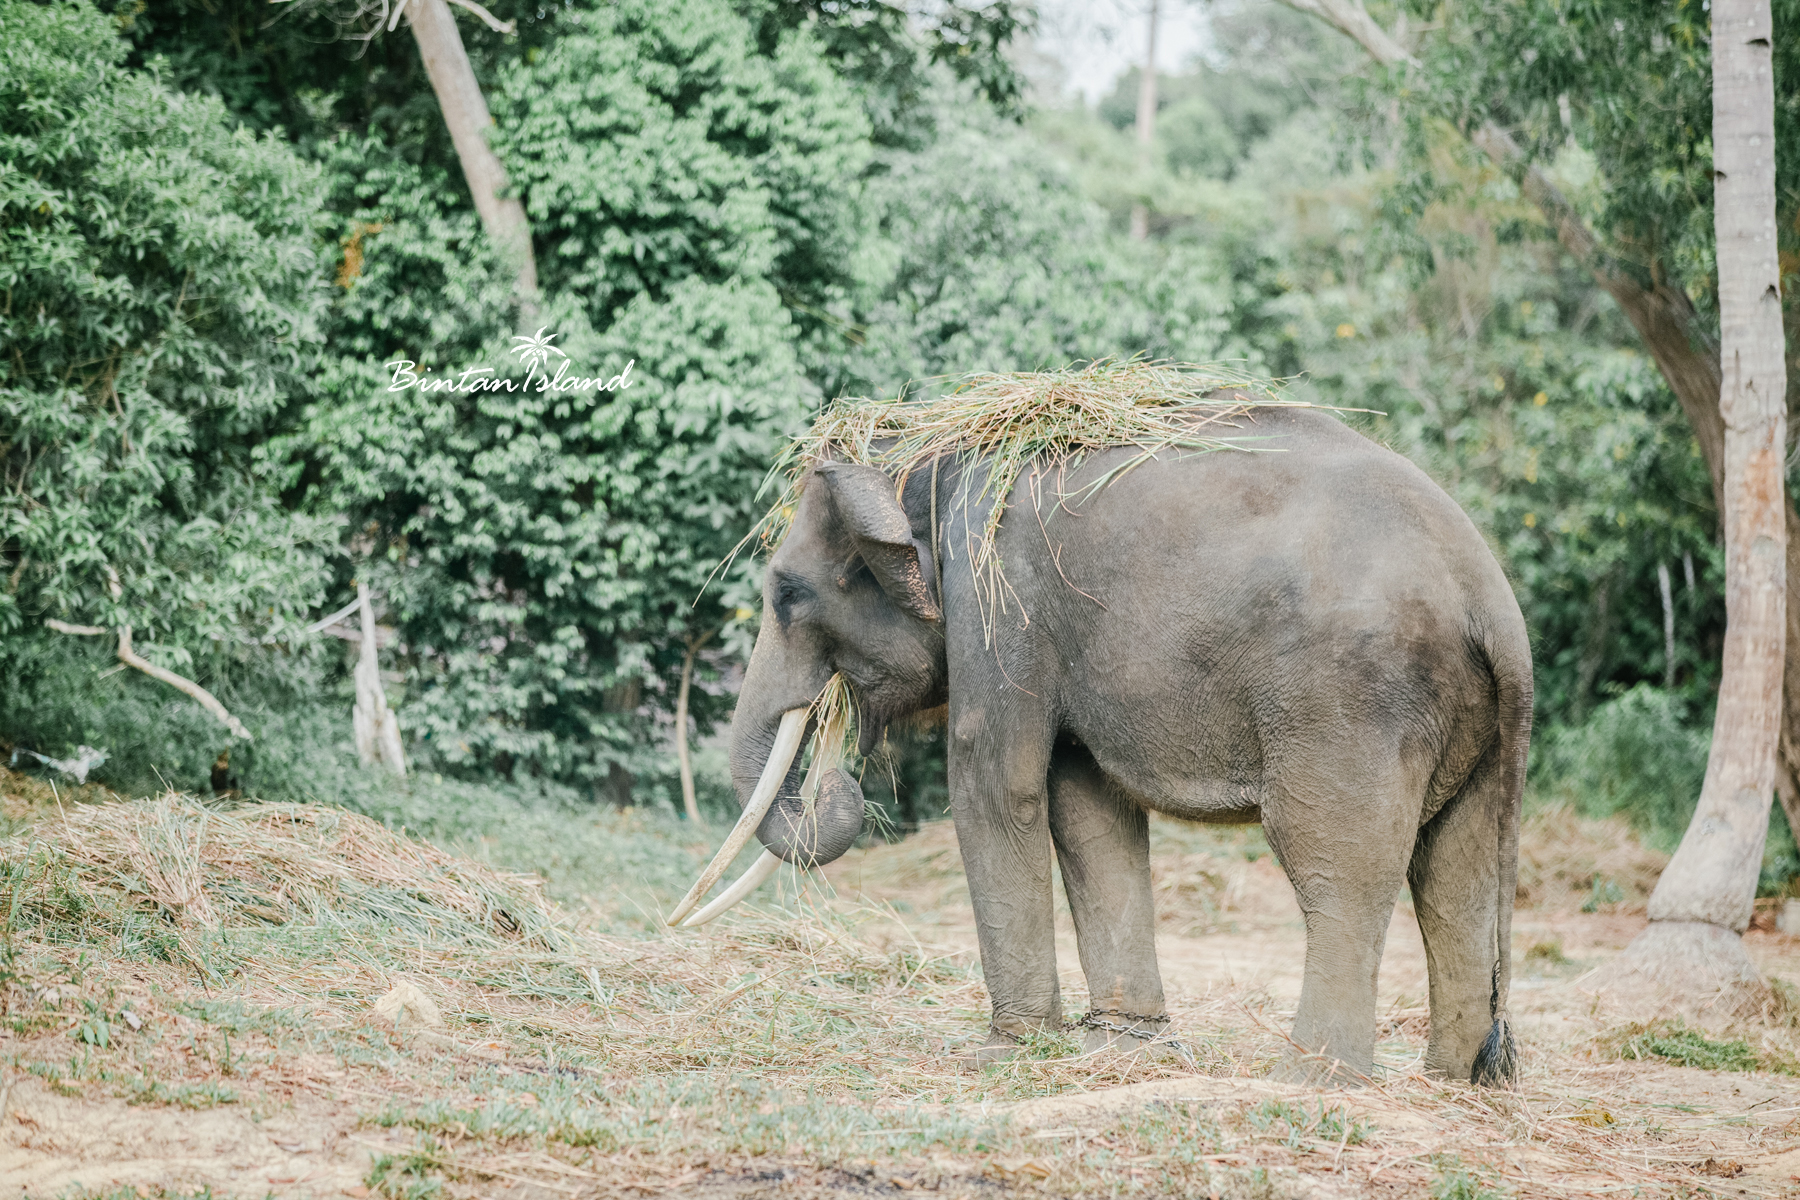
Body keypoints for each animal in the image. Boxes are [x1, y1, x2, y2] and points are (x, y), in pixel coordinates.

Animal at [676, 406, 1533, 1086]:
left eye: (788, 594)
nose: (836, 782)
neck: (938, 446)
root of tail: (1492, 604)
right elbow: (1089, 808)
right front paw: (1124, 1049)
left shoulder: (999, 591)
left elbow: (996, 783)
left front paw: (1006, 1052)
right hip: (1474, 724)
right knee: (1455, 872)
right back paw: (1450, 1084)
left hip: (1350, 700)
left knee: (1338, 866)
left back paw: (1310, 1081)